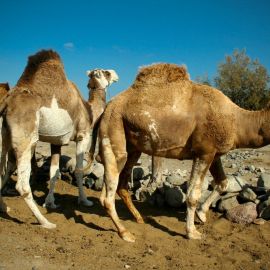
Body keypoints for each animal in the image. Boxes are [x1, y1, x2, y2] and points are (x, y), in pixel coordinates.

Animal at [0, 49, 118, 228]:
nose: (116, 75)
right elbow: (78, 171)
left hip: (5, 137)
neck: (89, 110)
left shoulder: (56, 141)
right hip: (26, 139)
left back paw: (5, 207)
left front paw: (50, 202)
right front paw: (84, 201)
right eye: (106, 72)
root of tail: (5, 105)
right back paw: (45, 222)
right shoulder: (83, 136)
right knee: (21, 184)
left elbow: (53, 172)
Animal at [97, 63, 270, 243]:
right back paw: (125, 233)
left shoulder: (213, 153)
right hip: (113, 127)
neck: (238, 122)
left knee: (121, 184)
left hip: (133, 147)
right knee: (107, 195)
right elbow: (193, 195)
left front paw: (202, 215)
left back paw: (139, 218)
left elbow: (223, 183)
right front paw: (192, 232)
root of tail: (108, 108)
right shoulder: (203, 152)